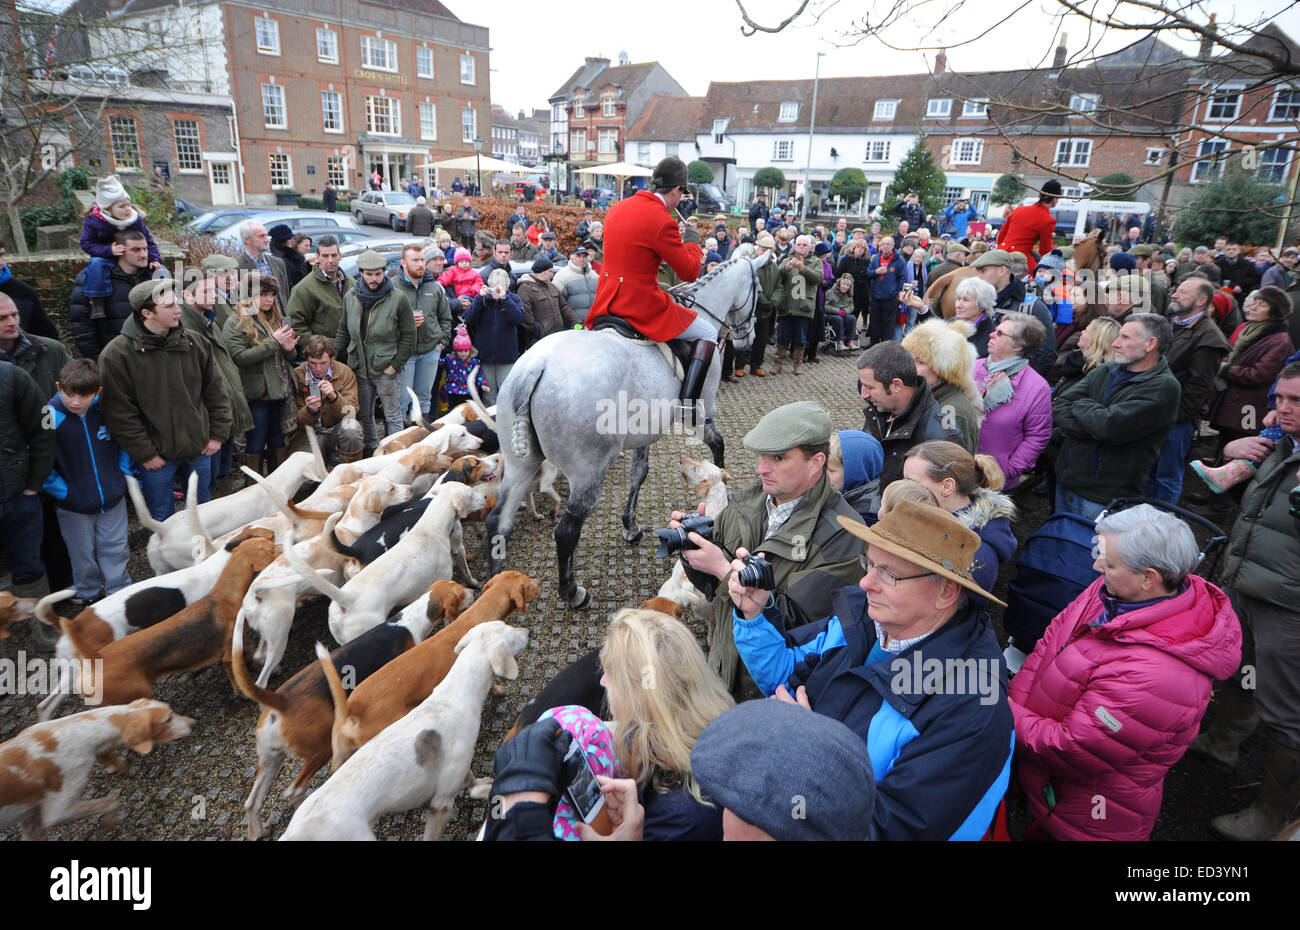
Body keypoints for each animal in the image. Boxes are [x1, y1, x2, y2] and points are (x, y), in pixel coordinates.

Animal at [488, 251, 769, 608]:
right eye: (758, 290)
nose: (747, 340)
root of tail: (537, 366)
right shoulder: (702, 414)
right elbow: (718, 445)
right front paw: (723, 486)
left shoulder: (644, 432)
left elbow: (639, 474)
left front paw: (630, 525)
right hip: (588, 472)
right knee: (565, 532)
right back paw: (572, 591)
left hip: (519, 464)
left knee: (498, 521)